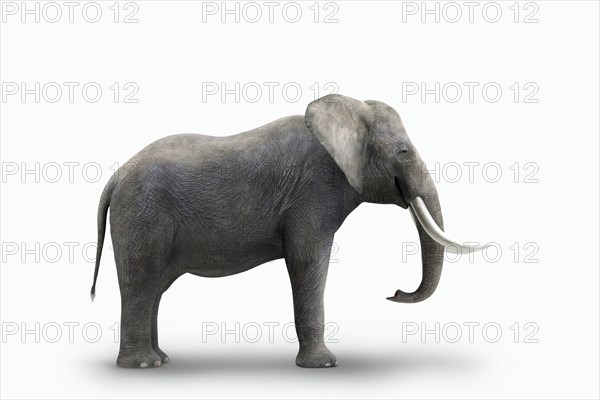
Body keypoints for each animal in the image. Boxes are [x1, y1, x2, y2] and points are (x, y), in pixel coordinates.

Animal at [90, 94, 482, 368]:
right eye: (403, 152)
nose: (395, 293)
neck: (348, 111)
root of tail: (116, 176)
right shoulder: (310, 195)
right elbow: (308, 262)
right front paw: (324, 365)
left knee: (154, 288)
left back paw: (161, 359)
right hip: (142, 214)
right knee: (142, 283)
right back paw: (144, 365)